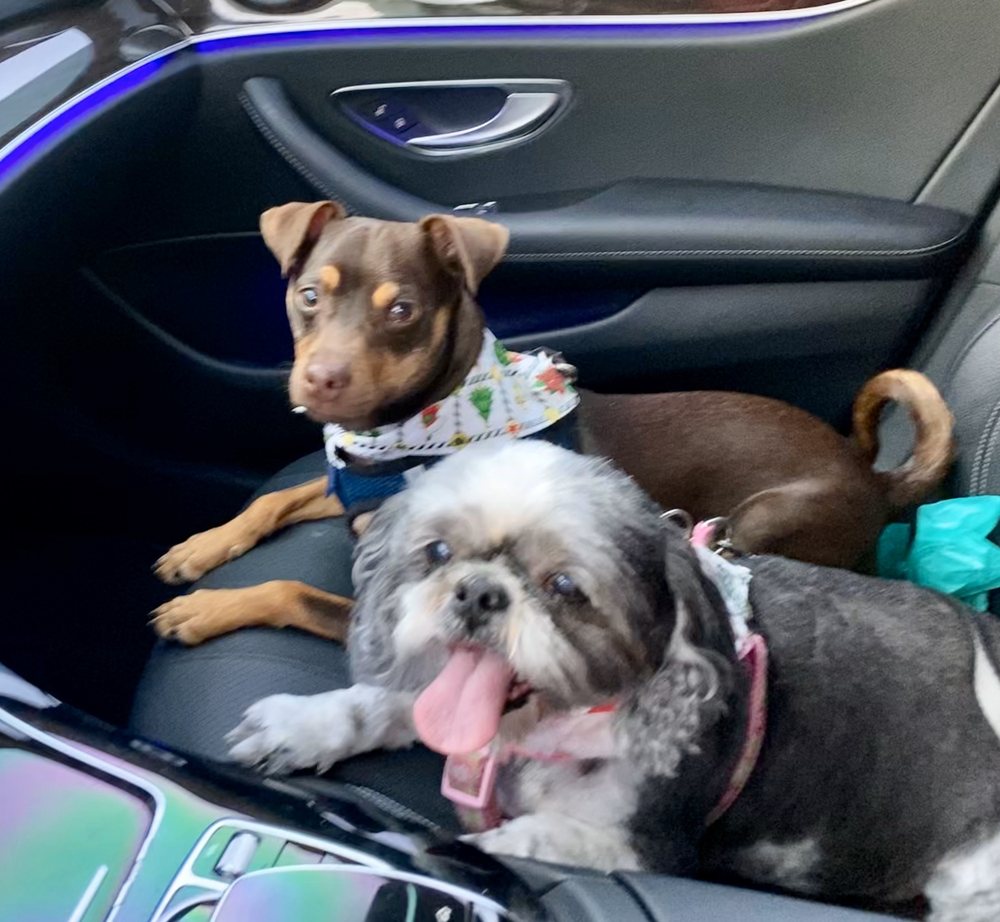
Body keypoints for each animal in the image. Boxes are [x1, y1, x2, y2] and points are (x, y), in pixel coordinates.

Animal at [151, 200, 954, 646]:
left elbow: (290, 591)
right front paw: (200, 548)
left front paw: (203, 610)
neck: (414, 428)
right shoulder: (356, 484)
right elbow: (275, 499)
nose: (323, 379)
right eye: (309, 297)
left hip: (764, 521)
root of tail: (874, 478)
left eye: (402, 311)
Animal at [227, 439, 1000, 920]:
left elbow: (520, 842)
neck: (550, 724)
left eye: (565, 586)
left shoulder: (641, 847)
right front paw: (301, 725)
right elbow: (381, 704)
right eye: (438, 551)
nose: (478, 592)